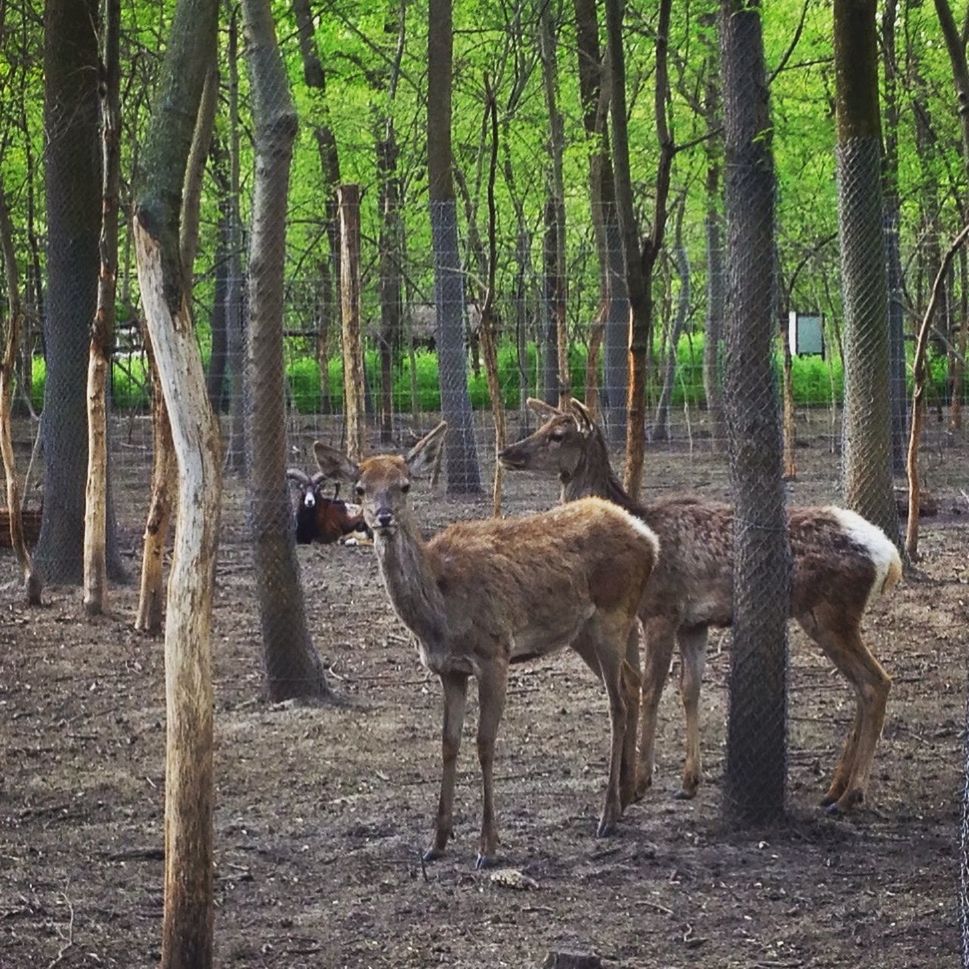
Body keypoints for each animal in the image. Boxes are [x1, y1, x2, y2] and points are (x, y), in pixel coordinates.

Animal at [314, 420, 660, 864]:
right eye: (360, 489)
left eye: (405, 485)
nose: (383, 518)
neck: (440, 614)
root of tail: (648, 539)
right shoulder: (448, 669)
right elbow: (448, 742)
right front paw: (436, 842)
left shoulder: (494, 652)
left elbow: (484, 742)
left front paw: (488, 846)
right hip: (582, 632)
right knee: (631, 683)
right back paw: (626, 797)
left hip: (612, 614)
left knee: (618, 701)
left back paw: (607, 815)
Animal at [500, 398, 900, 812]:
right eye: (542, 425)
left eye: (558, 435)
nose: (507, 452)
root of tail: (889, 556)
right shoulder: (694, 622)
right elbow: (689, 688)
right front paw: (689, 780)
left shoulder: (662, 610)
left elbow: (650, 688)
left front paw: (641, 781)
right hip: (829, 617)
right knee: (863, 686)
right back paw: (836, 787)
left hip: (830, 612)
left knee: (876, 683)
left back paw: (853, 792)